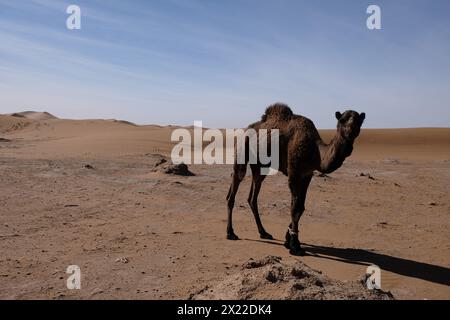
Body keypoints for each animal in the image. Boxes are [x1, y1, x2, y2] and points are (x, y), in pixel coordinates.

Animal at [225, 104, 366, 256]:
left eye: (359, 121)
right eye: (342, 120)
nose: (351, 131)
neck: (315, 151)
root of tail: (245, 129)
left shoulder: (307, 175)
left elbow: (301, 207)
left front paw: (288, 239)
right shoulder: (294, 172)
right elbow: (294, 208)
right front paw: (295, 246)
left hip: (260, 165)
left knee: (253, 194)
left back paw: (264, 232)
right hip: (242, 149)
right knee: (235, 184)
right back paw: (230, 233)